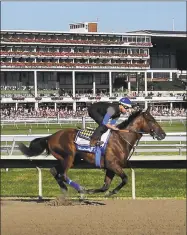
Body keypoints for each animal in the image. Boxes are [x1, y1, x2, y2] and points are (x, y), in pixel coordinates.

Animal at [18, 107, 166, 197]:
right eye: (152, 120)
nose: (163, 134)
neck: (121, 138)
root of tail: (50, 137)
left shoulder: (111, 168)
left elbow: (105, 186)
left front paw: (101, 192)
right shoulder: (113, 165)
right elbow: (125, 179)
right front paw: (107, 192)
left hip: (71, 159)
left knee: (55, 171)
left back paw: (67, 190)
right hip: (68, 157)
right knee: (63, 175)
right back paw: (80, 190)